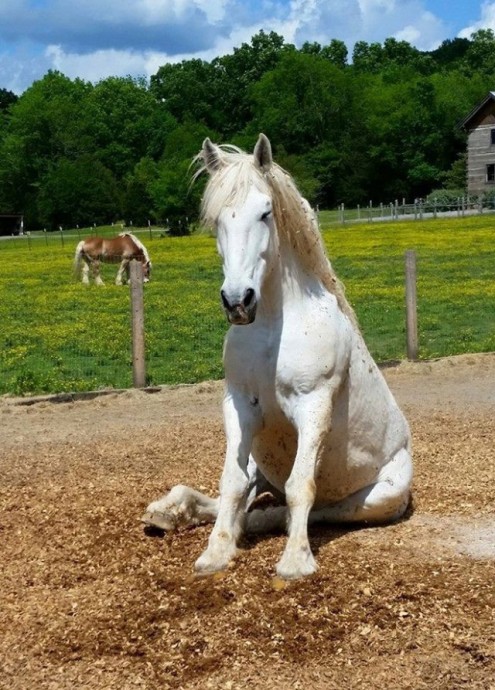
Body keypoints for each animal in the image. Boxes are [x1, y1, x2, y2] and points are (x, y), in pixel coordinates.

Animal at [141, 133, 412, 576]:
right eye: (216, 220)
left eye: (265, 212)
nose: (237, 301)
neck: (274, 325)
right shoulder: (239, 405)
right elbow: (231, 483)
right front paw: (215, 552)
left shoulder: (314, 405)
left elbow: (301, 486)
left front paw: (295, 561)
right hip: (261, 460)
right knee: (242, 495)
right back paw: (171, 512)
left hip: (380, 496)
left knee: (308, 508)